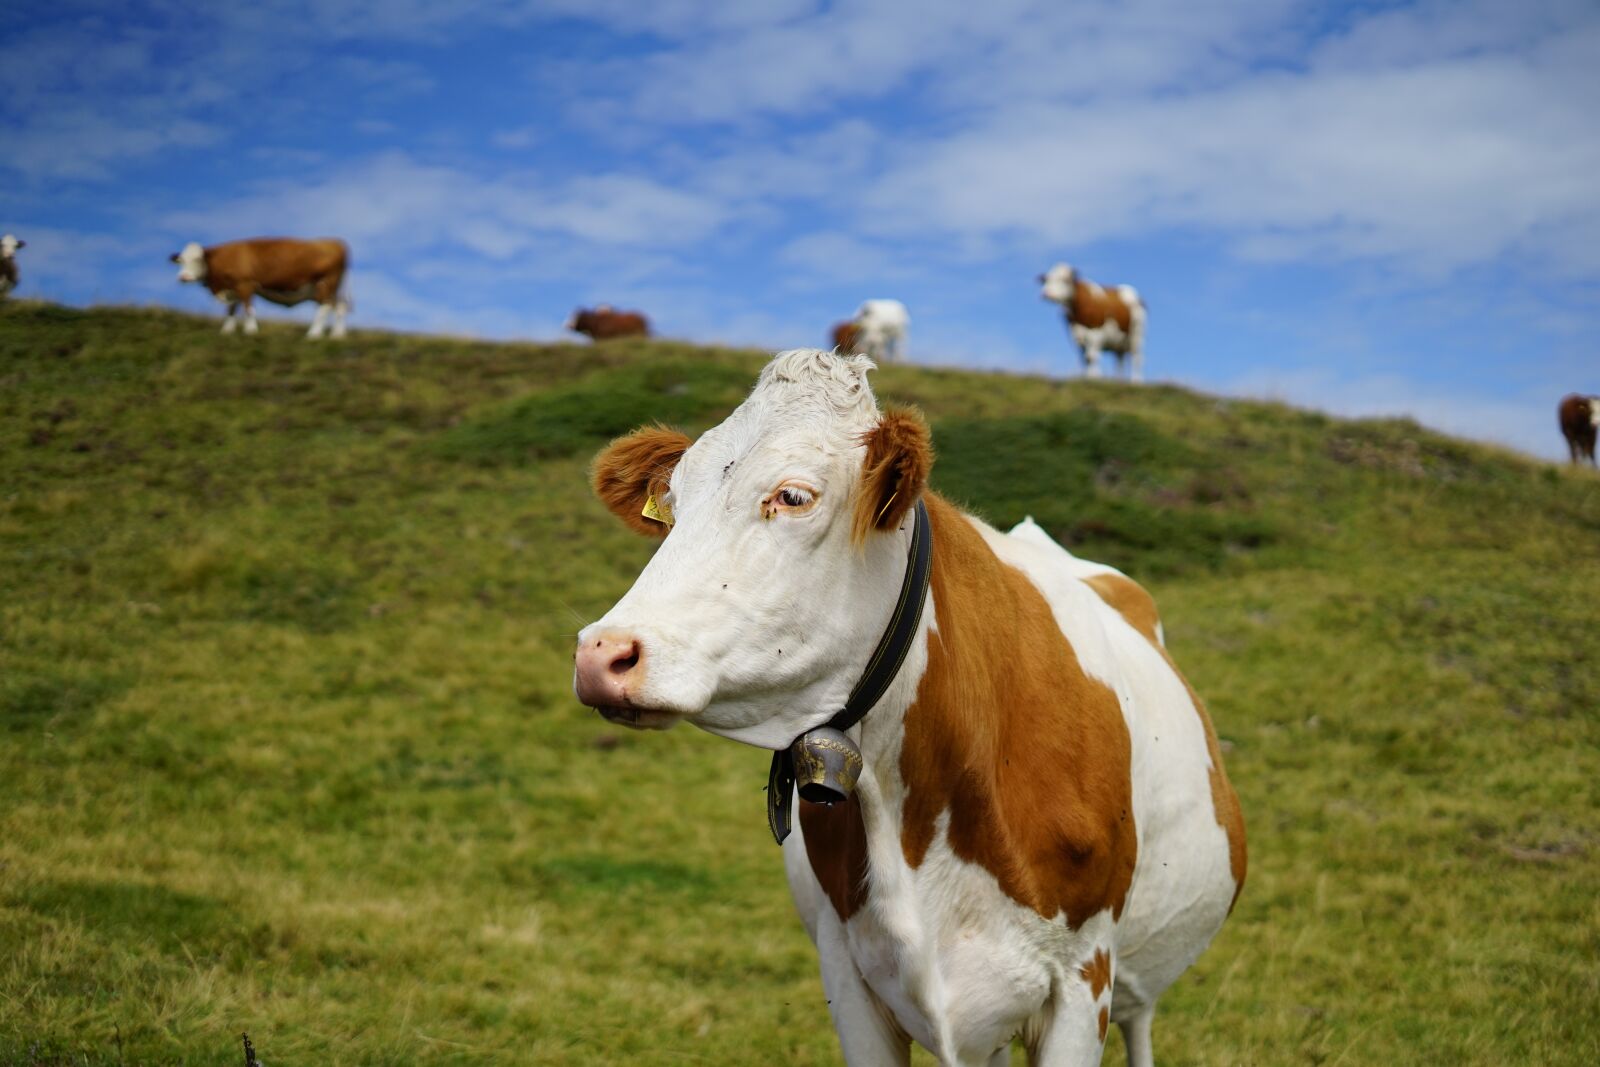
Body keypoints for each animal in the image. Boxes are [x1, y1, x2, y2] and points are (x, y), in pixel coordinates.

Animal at [172, 238, 350, 340]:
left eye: (198, 259)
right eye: (181, 261)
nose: (183, 277)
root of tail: (334, 242)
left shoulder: (245, 284)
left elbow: (248, 307)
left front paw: (250, 330)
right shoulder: (234, 288)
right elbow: (231, 309)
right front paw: (227, 330)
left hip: (325, 284)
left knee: (325, 307)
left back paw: (314, 334)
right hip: (333, 288)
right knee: (339, 308)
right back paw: (337, 335)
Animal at [576, 350, 1248, 1067]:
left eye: (793, 496)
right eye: (672, 503)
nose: (602, 651)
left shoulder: (1082, 977)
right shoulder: (848, 977)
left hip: (1131, 991)